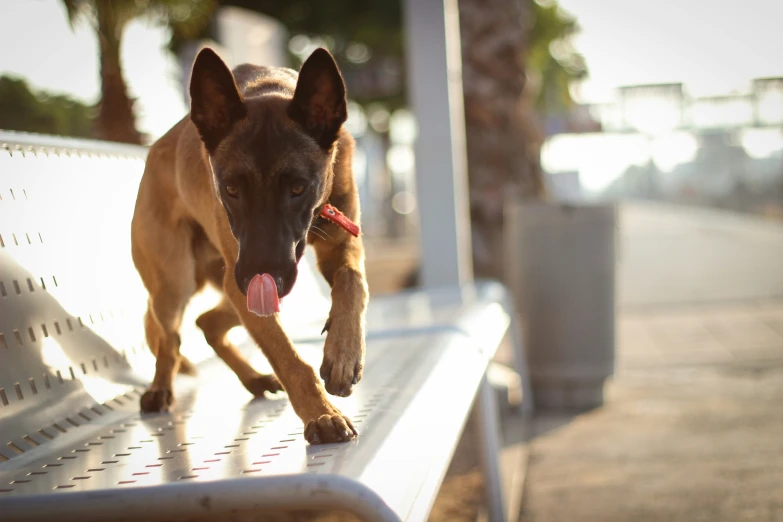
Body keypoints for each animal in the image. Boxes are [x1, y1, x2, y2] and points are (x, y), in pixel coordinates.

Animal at [131, 46, 368, 440]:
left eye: (298, 188)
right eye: (231, 189)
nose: (261, 274)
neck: (269, 88)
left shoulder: (341, 247)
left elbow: (353, 282)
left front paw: (344, 354)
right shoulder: (247, 284)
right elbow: (288, 359)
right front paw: (321, 414)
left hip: (236, 288)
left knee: (208, 324)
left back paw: (254, 379)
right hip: (181, 284)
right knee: (171, 340)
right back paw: (160, 388)